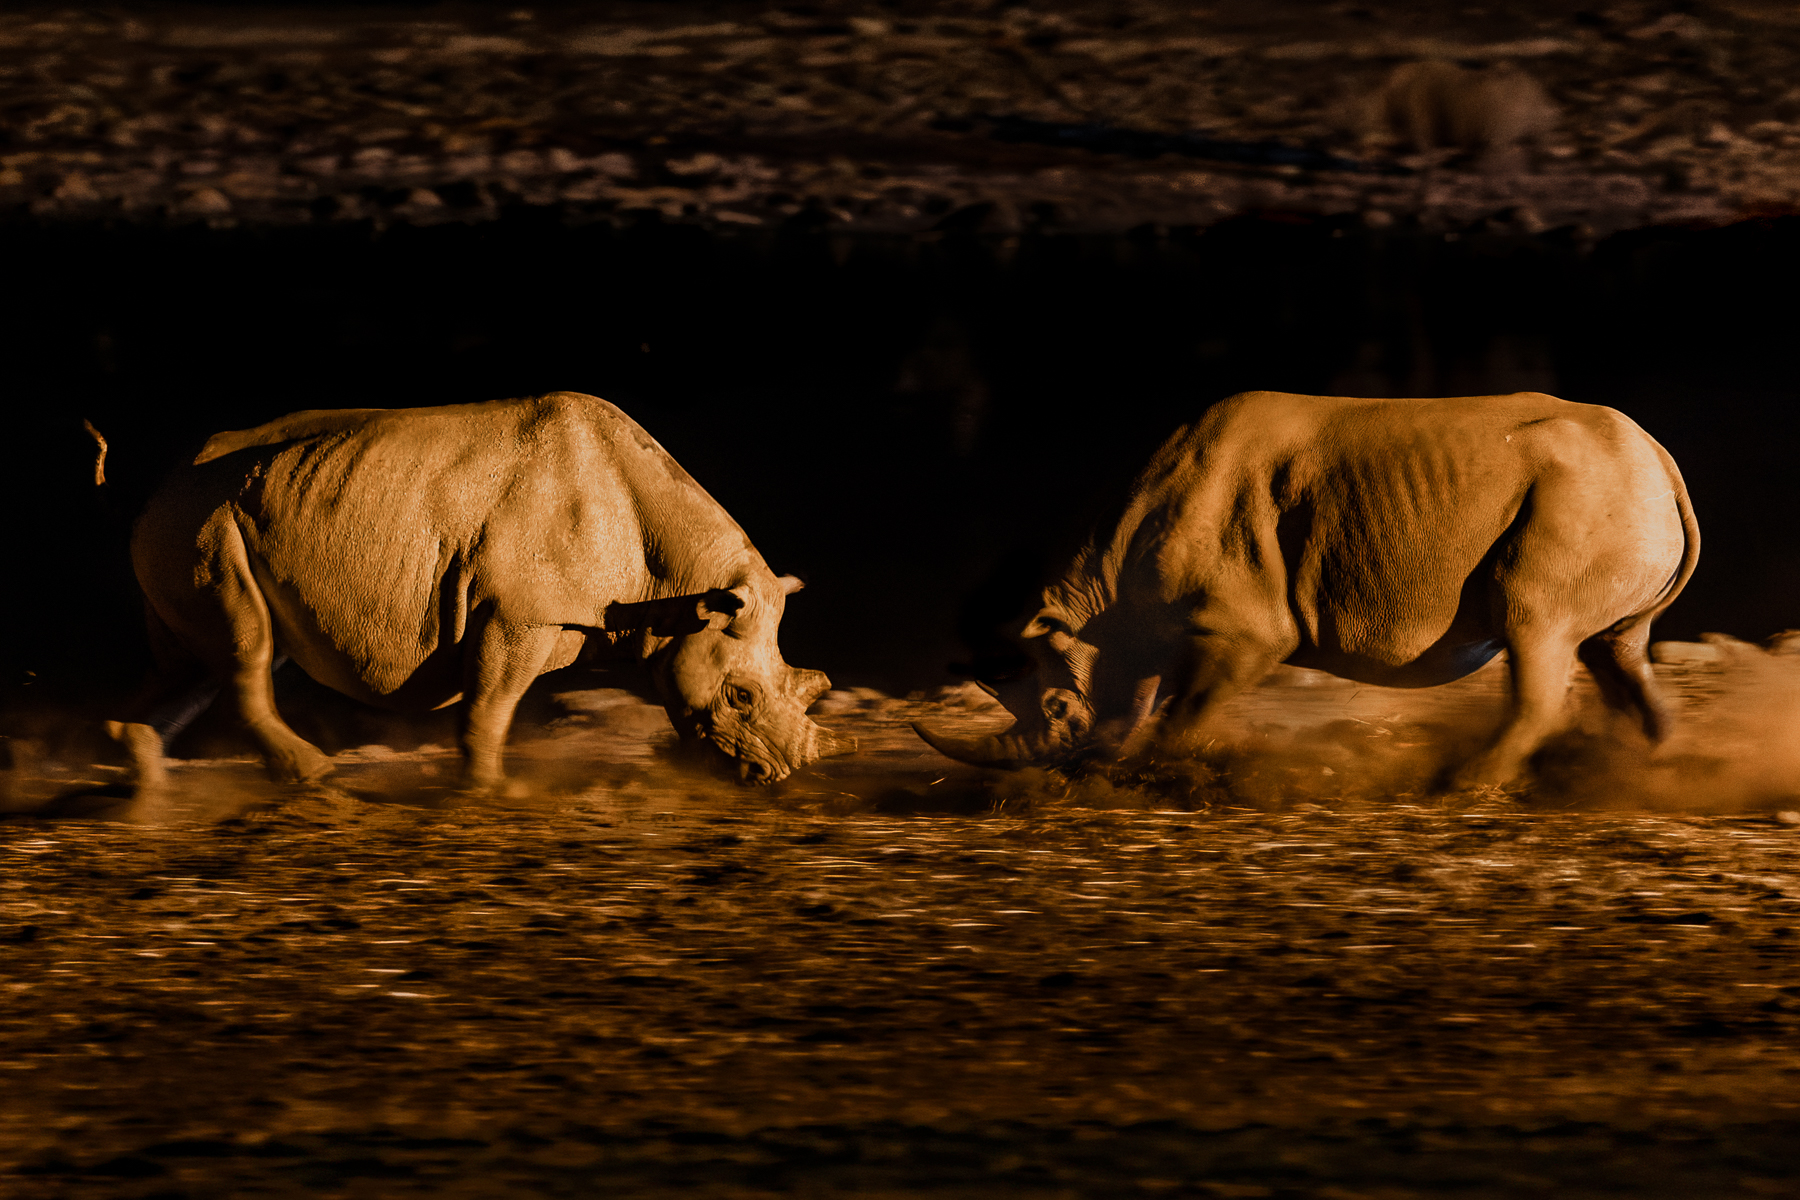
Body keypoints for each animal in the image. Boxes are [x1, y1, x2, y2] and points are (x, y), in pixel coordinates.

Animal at [108, 392, 852, 791]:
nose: (778, 775)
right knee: (245, 651)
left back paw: (146, 783)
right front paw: (494, 788)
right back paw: (312, 776)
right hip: (204, 523)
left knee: (196, 663)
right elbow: (489, 708)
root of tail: (159, 487)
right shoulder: (520, 614)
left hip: (205, 520)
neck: (681, 586)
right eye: (742, 696)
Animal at [915, 391, 1699, 789]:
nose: (1046, 761)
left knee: (1537, 628)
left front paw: (1153, 774)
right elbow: (1135, 699)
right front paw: (1101, 771)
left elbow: (1184, 708)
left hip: (1582, 498)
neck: (1102, 602)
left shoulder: (1241, 629)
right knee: (1616, 646)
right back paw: (1643, 768)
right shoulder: (1150, 633)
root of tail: (1663, 462)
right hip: (1612, 501)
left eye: (1052, 706)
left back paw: (1458, 785)